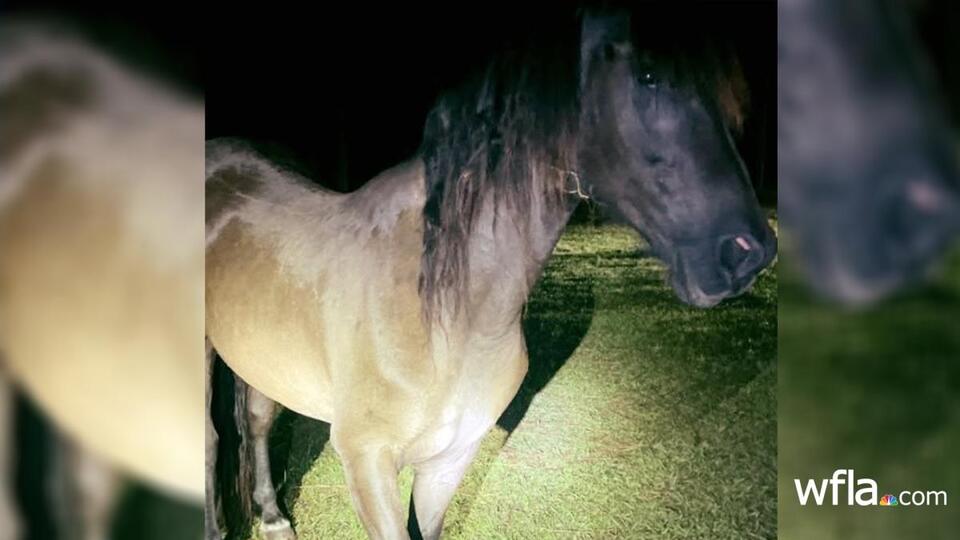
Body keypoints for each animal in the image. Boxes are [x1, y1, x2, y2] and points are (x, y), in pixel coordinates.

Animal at [205, 9, 776, 540]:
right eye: (649, 76)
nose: (749, 252)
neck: (445, 317)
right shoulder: (367, 464)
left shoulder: (450, 460)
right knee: (211, 443)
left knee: (257, 419)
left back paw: (273, 517)